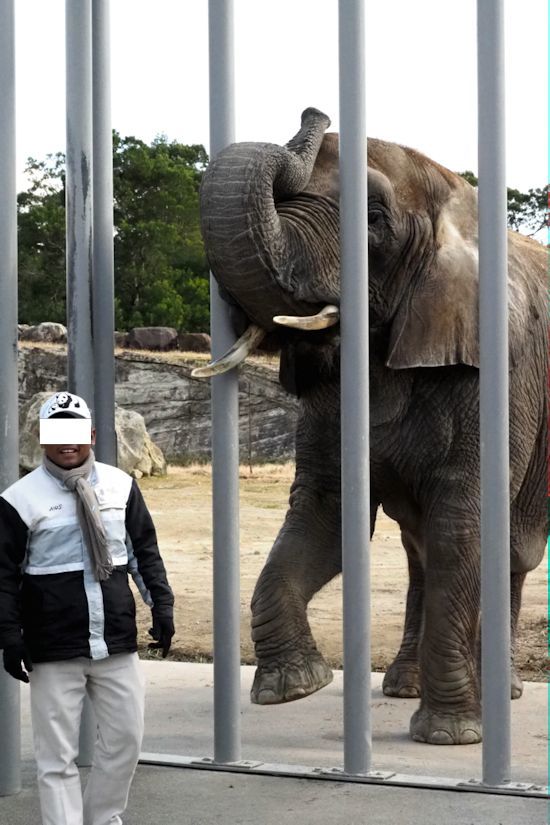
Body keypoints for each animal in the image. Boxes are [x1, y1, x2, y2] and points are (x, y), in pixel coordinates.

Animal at [194, 106, 548, 744]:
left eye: (374, 220)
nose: (313, 112)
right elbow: (327, 513)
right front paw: (292, 688)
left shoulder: (495, 370)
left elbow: (464, 521)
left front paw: (448, 736)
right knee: (421, 549)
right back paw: (406, 685)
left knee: (508, 547)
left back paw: (497, 696)